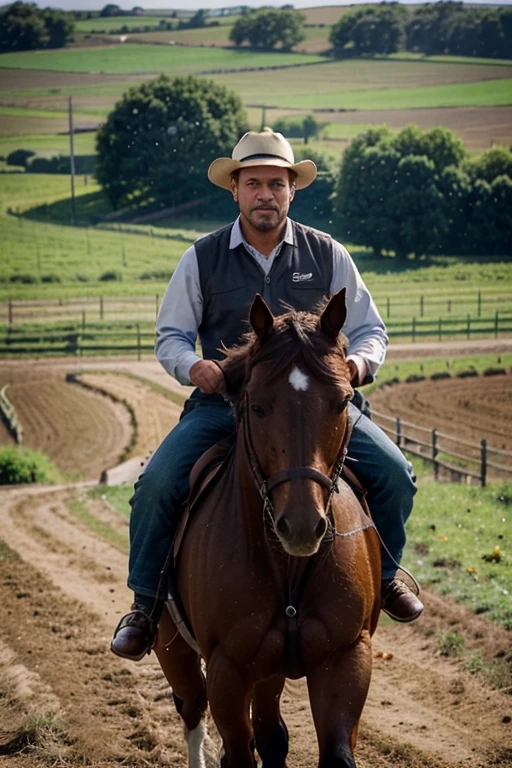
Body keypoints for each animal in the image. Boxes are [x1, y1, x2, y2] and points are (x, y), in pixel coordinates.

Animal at [154, 290, 382, 768]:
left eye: (341, 401)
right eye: (257, 406)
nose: (301, 526)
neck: (287, 566)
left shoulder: (347, 657)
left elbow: (331, 751)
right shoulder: (227, 669)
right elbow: (238, 751)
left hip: (270, 670)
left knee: (270, 732)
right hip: (174, 648)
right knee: (192, 709)